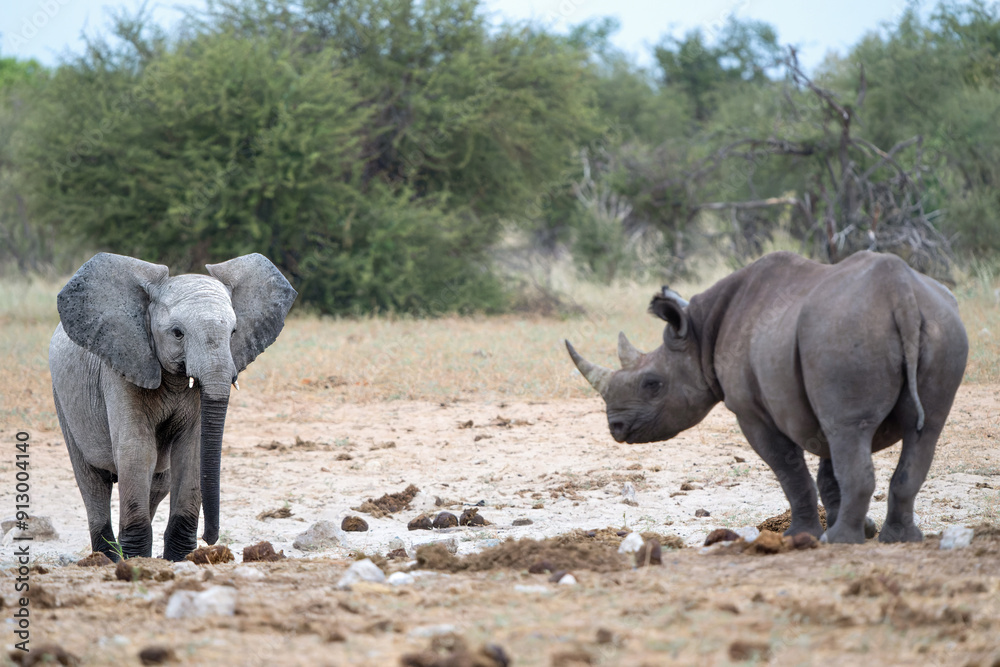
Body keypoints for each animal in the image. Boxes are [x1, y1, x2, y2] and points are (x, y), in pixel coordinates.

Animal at [566, 251, 967, 543]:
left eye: (652, 384)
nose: (616, 427)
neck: (699, 333)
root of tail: (900, 292)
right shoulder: (817, 400)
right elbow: (828, 474)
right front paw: (860, 529)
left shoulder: (751, 412)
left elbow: (792, 473)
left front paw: (799, 535)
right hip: (938, 324)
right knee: (925, 430)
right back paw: (900, 539)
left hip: (845, 330)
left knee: (853, 432)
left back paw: (839, 541)